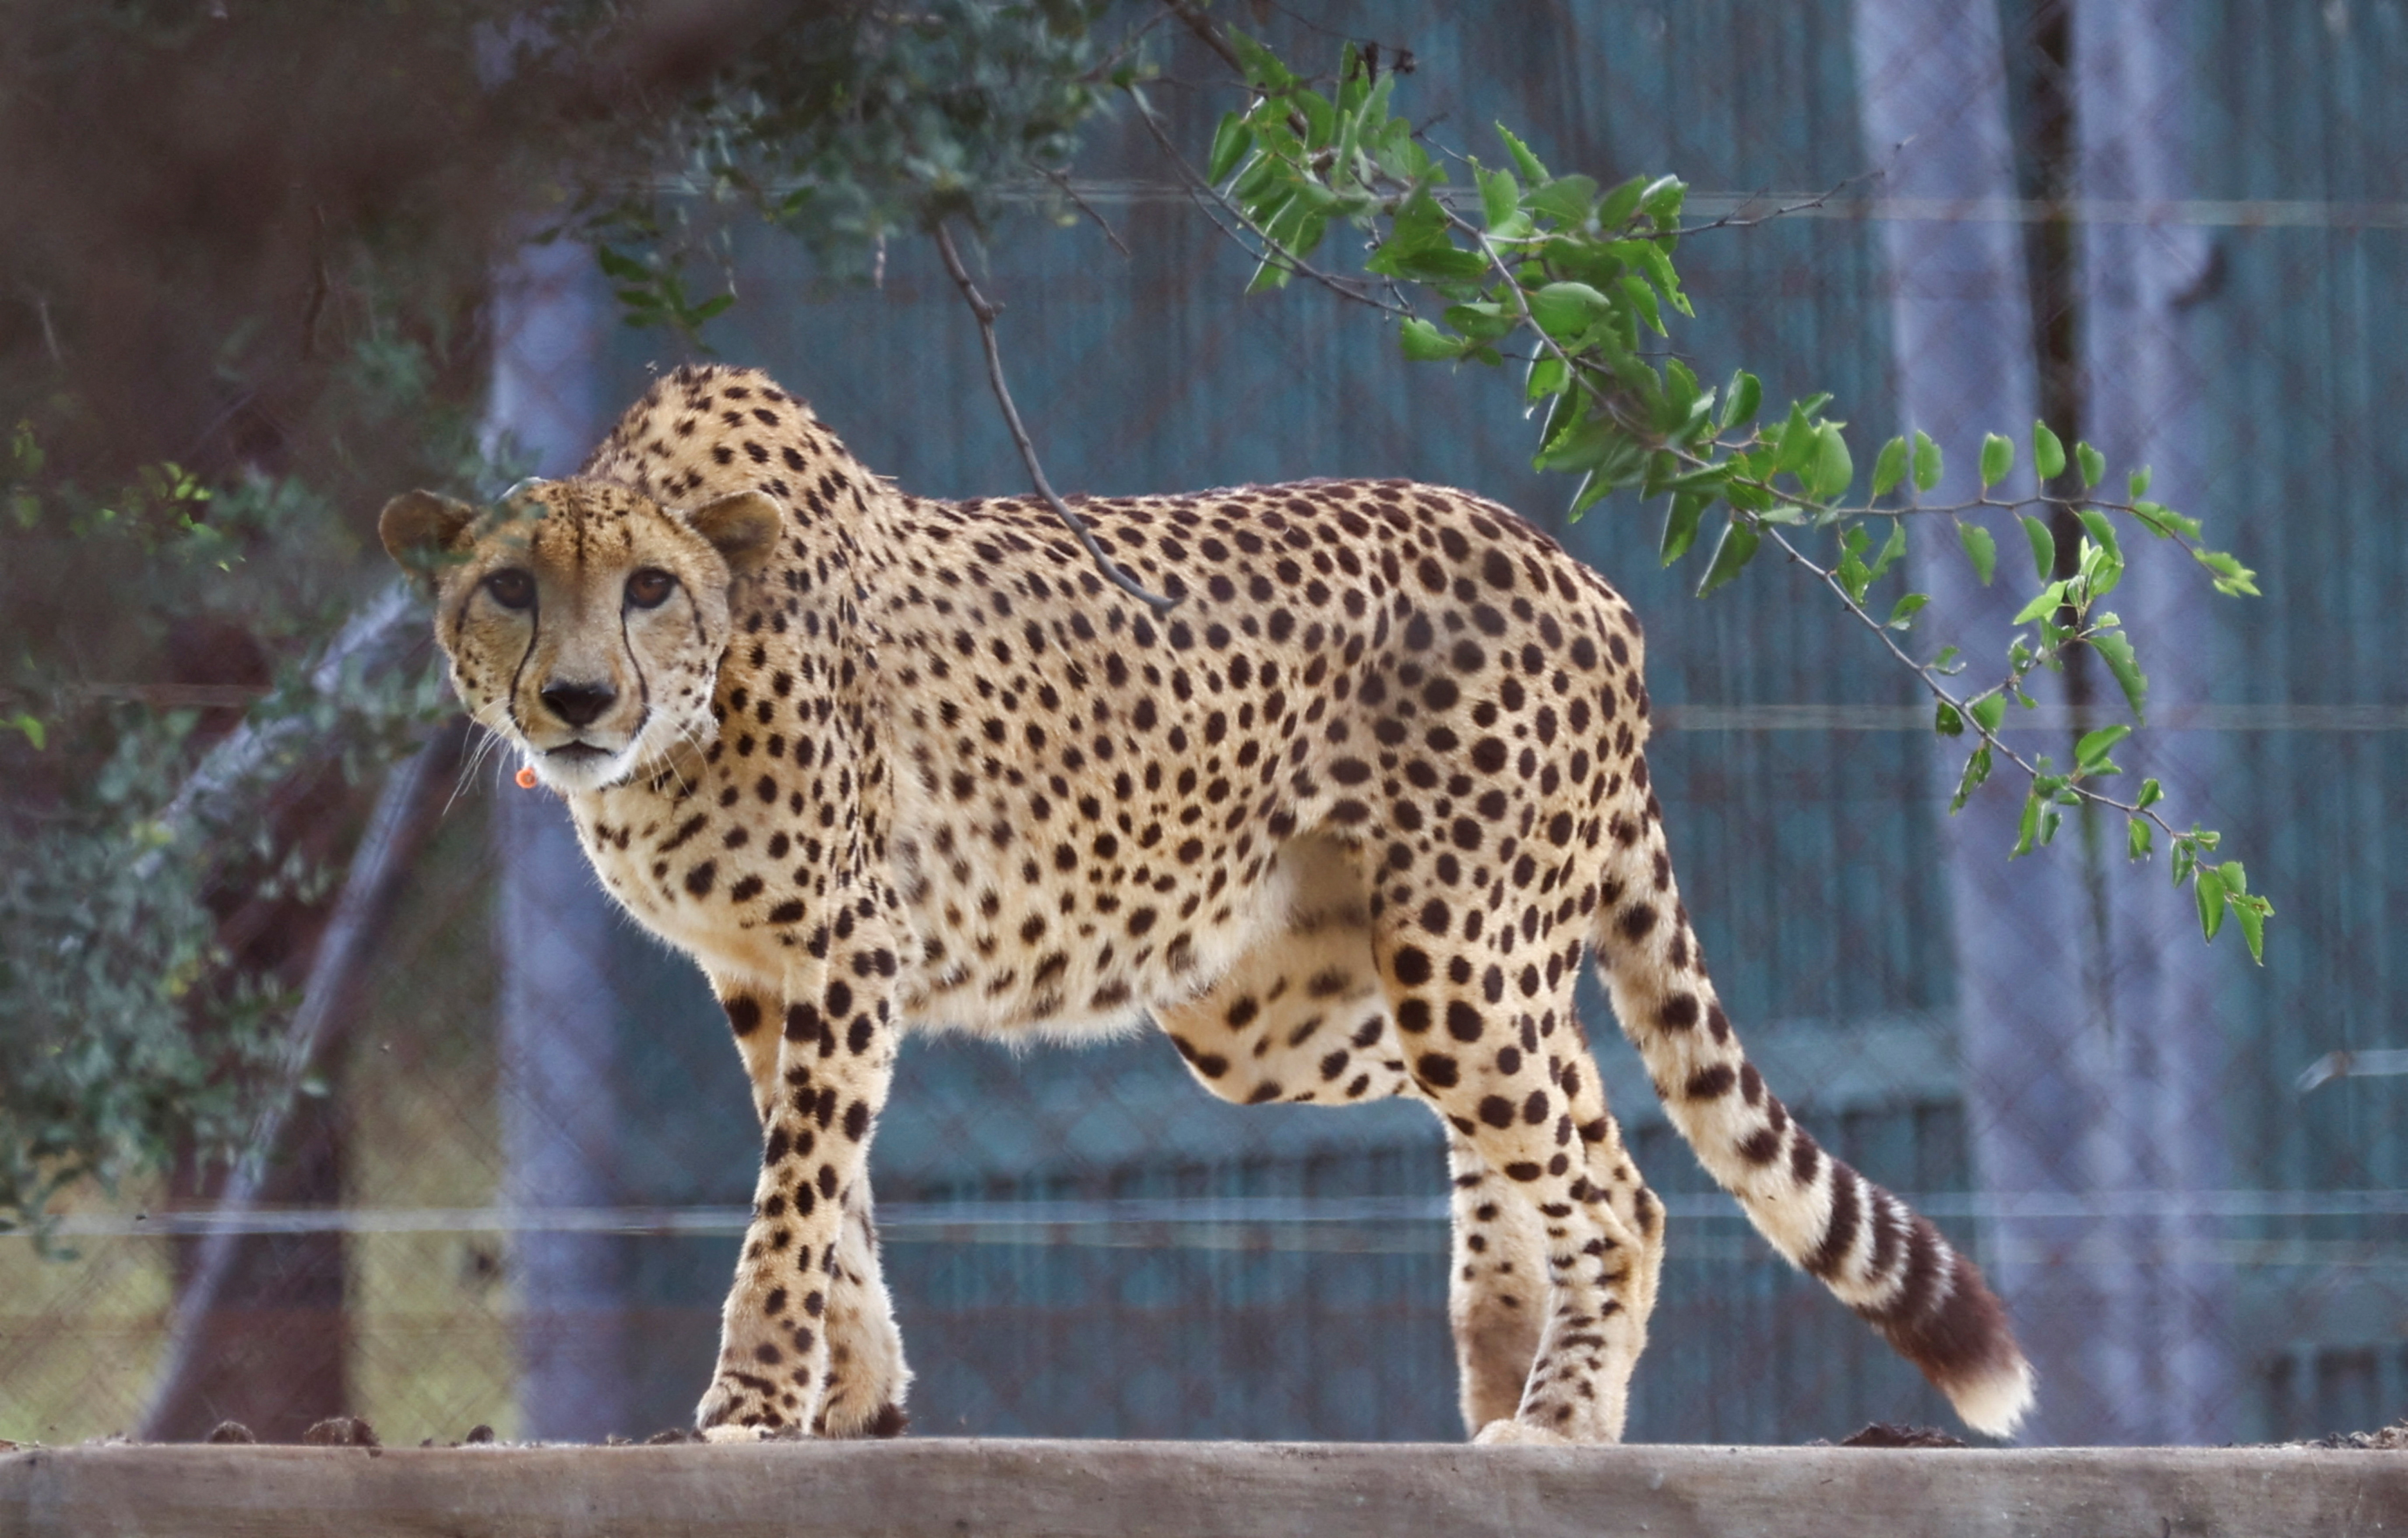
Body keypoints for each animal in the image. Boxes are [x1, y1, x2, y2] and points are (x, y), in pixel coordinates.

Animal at [380, 362, 2036, 1445]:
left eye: (648, 589)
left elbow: (794, 1193)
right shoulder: (762, 973)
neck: (686, 717)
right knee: (1558, 1081)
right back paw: (1503, 1345)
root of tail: (1577, 569)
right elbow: (827, 1188)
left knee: (1610, 1172)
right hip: (1292, 1005)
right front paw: (856, 1392)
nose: (577, 699)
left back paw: (1562, 1415)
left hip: (1447, 948)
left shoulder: (851, 943)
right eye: (509, 589)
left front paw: (748, 1400)